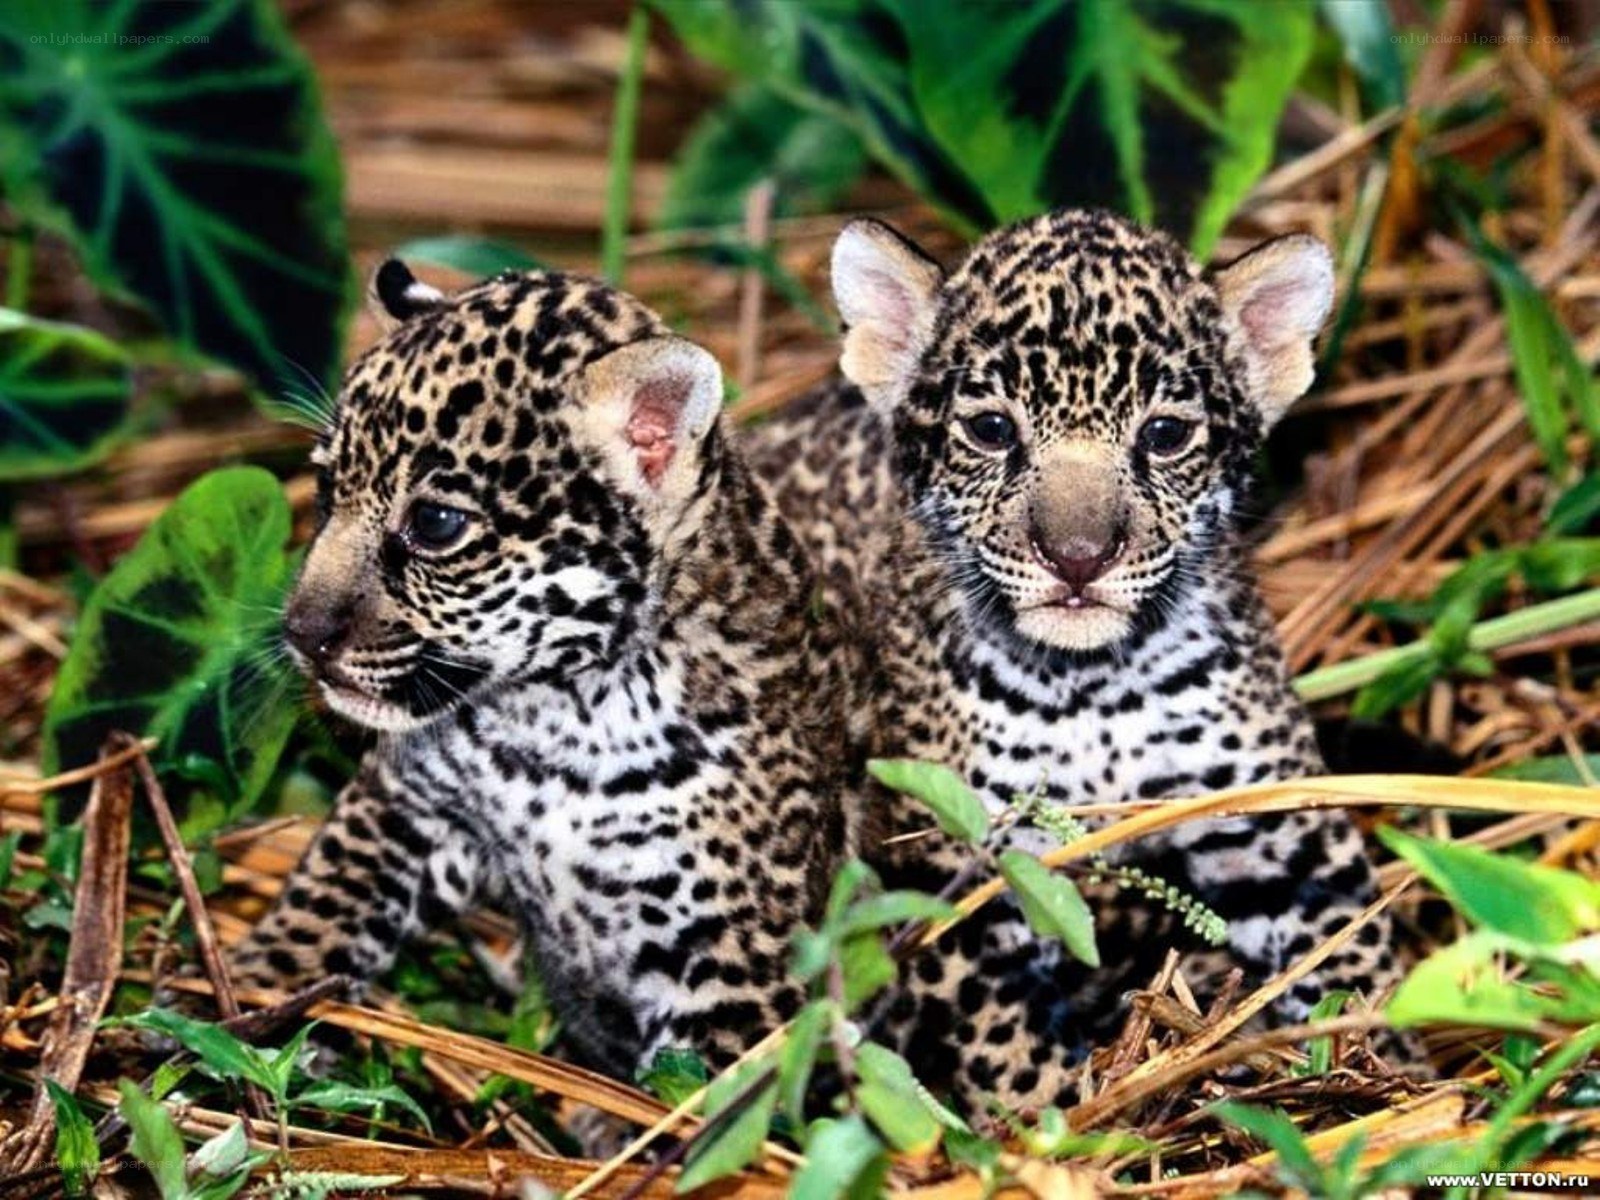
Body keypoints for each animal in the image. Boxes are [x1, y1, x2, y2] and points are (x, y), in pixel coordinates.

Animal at [231, 260, 862, 1081]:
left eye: (436, 524)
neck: (556, 723)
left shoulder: (731, 966)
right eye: (327, 489)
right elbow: (323, 897)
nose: (301, 635)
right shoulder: (402, 802)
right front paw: (244, 999)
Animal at [743, 208, 1405, 1111]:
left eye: (1165, 435)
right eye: (991, 431)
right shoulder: (963, 866)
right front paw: (1060, 1123)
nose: (1079, 557)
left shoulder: (1278, 823)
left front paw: (1398, 1073)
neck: (1093, 691)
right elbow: (1010, 1043)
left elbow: (1349, 950)